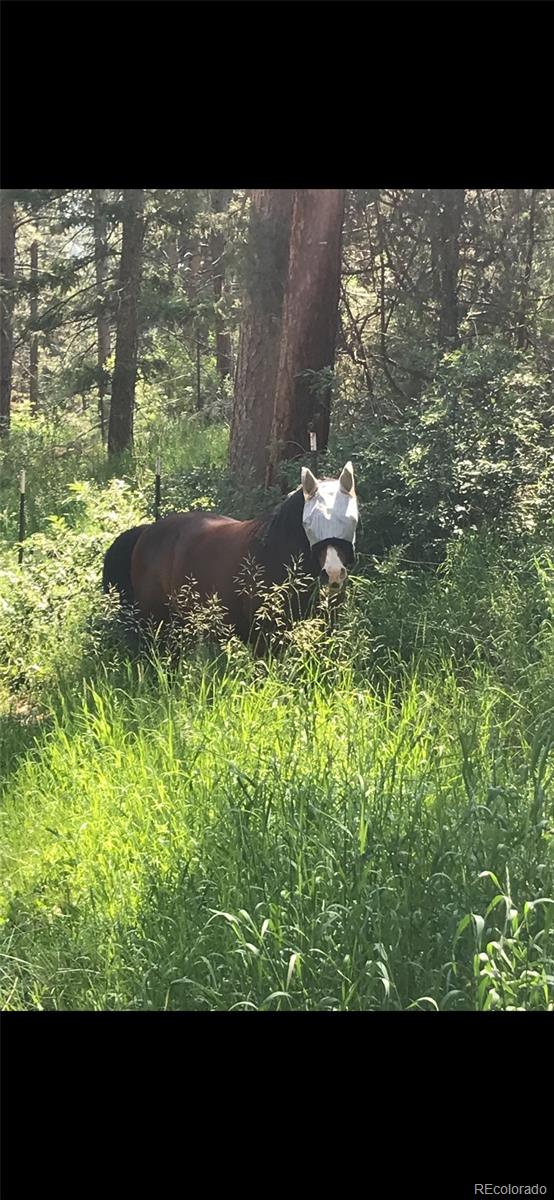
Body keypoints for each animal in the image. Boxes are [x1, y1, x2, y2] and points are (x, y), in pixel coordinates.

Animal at [102, 460, 359, 648]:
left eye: (351, 519)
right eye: (308, 522)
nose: (333, 573)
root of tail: (146, 531)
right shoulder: (265, 638)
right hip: (157, 624)